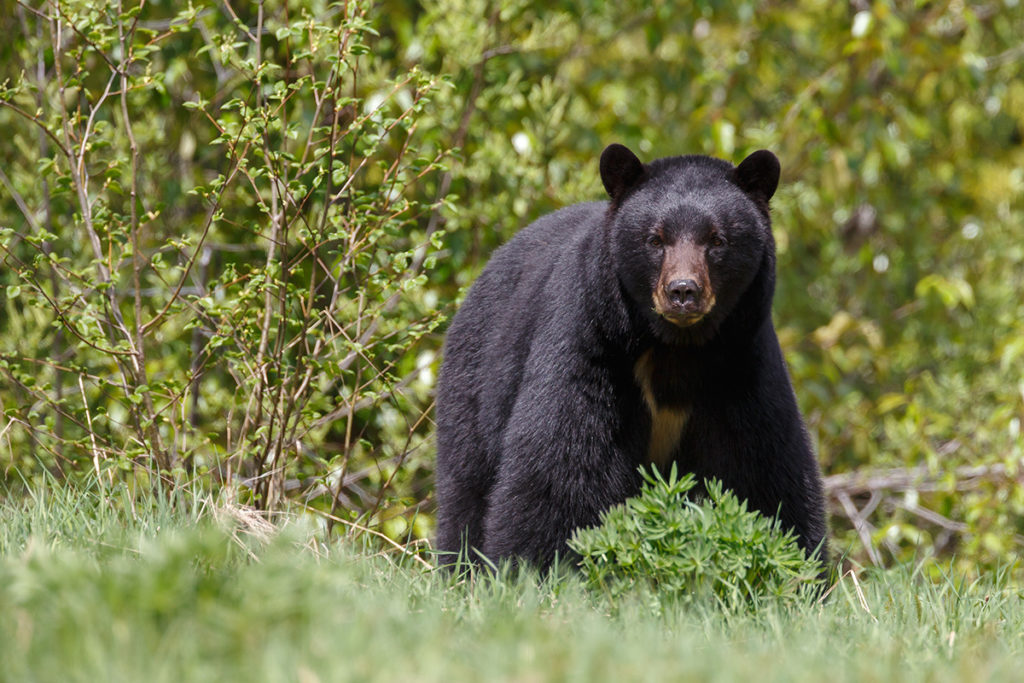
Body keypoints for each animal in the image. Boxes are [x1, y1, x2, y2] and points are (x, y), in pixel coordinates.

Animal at [432, 141, 823, 569]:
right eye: (655, 239)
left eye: (717, 240)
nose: (682, 291)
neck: (676, 348)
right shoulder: (592, 344)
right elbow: (562, 466)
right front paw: (536, 567)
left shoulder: (740, 364)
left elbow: (761, 470)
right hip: (477, 378)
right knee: (466, 484)